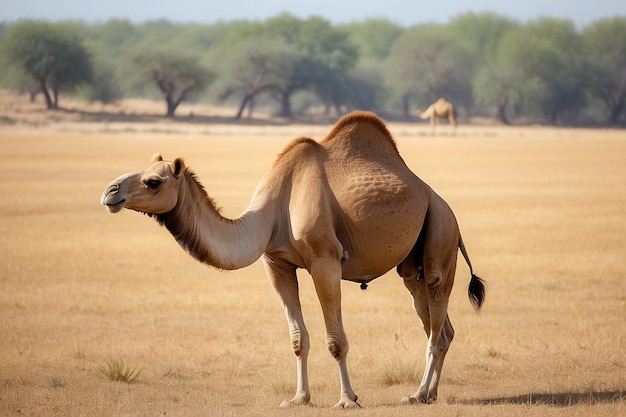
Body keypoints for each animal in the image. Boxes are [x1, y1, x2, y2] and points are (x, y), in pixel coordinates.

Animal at [101, 109, 482, 408]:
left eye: (153, 181)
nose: (110, 191)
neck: (273, 212)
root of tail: (443, 205)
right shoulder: (276, 264)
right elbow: (298, 338)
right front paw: (299, 398)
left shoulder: (325, 261)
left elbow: (336, 340)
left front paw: (347, 399)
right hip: (412, 268)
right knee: (440, 328)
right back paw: (429, 394)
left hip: (440, 238)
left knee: (435, 327)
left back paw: (417, 394)